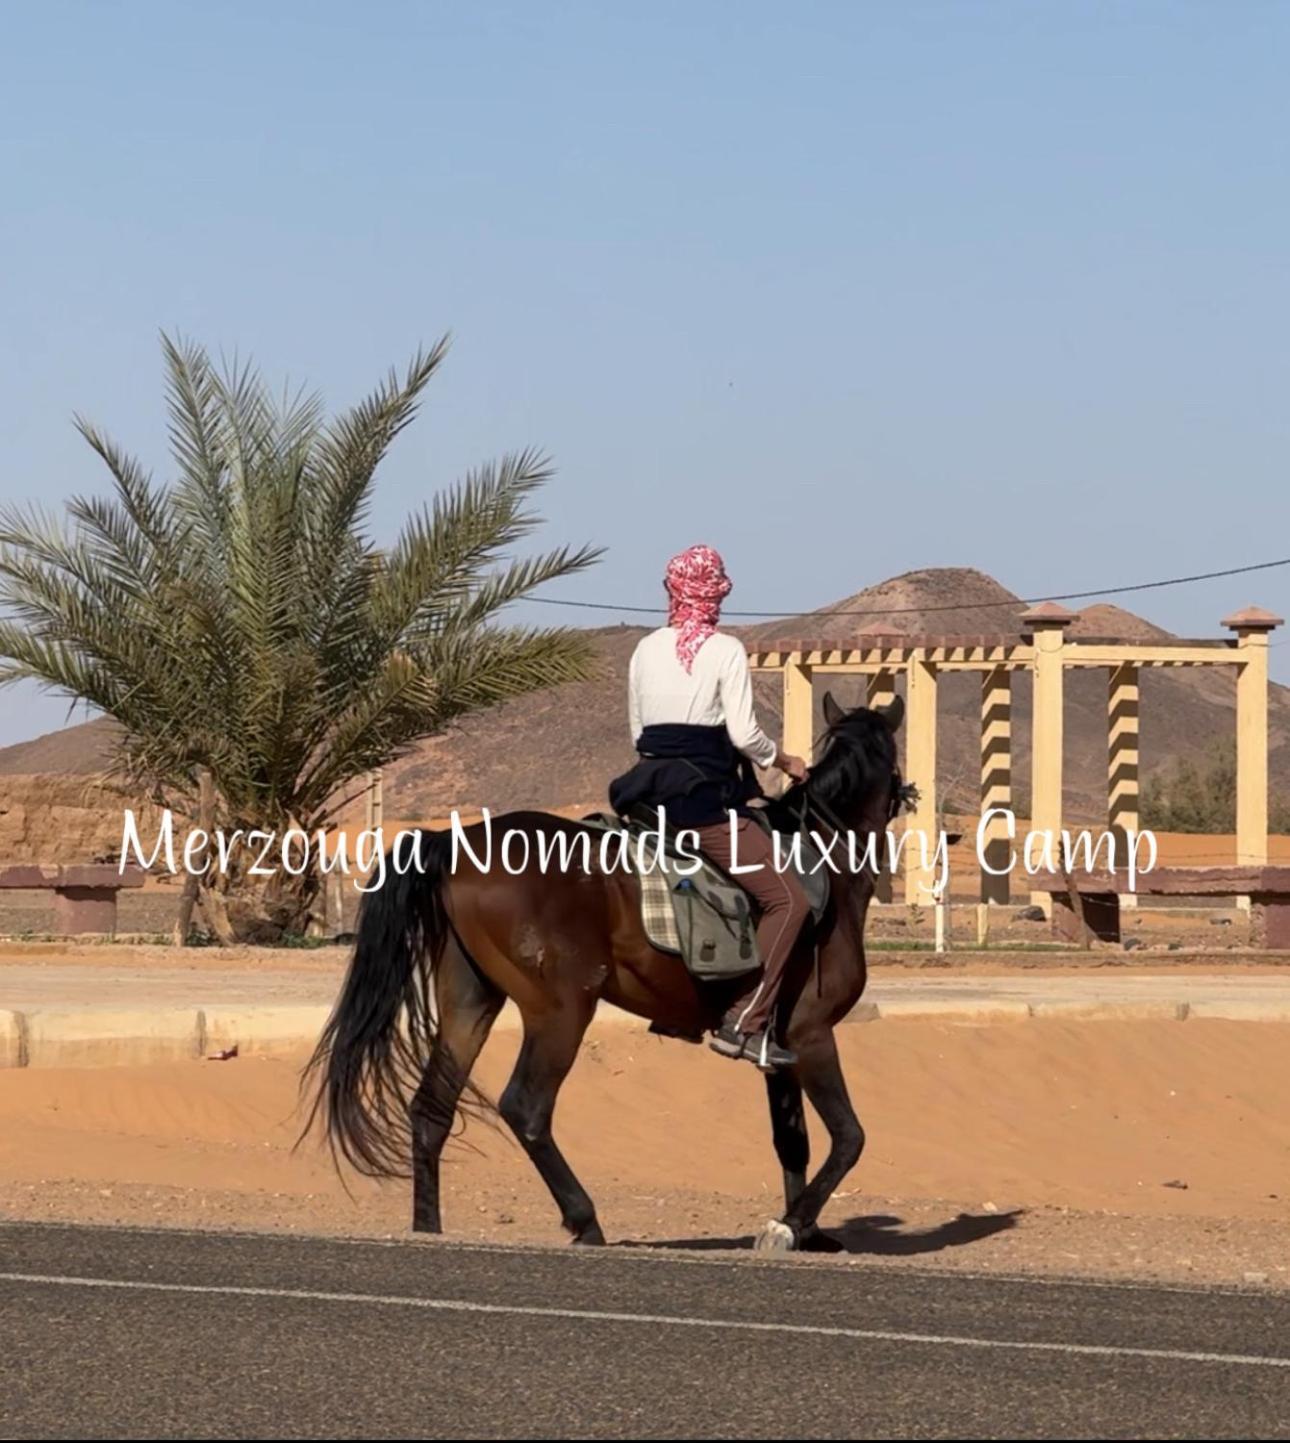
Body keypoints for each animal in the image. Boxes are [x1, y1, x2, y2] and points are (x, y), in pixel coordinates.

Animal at [307, 689, 906, 1252]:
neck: (826, 856)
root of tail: (454, 843)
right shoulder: (811, 1034)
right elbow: (849, 1137)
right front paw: (789, 1226)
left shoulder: (777, 1049)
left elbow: (792, 1141)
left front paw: (805, 1230)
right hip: (561, 1011)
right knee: (525, 1107)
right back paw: (584, 1219)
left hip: (469, 1003)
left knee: (431, 1109)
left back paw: (427, 1227)